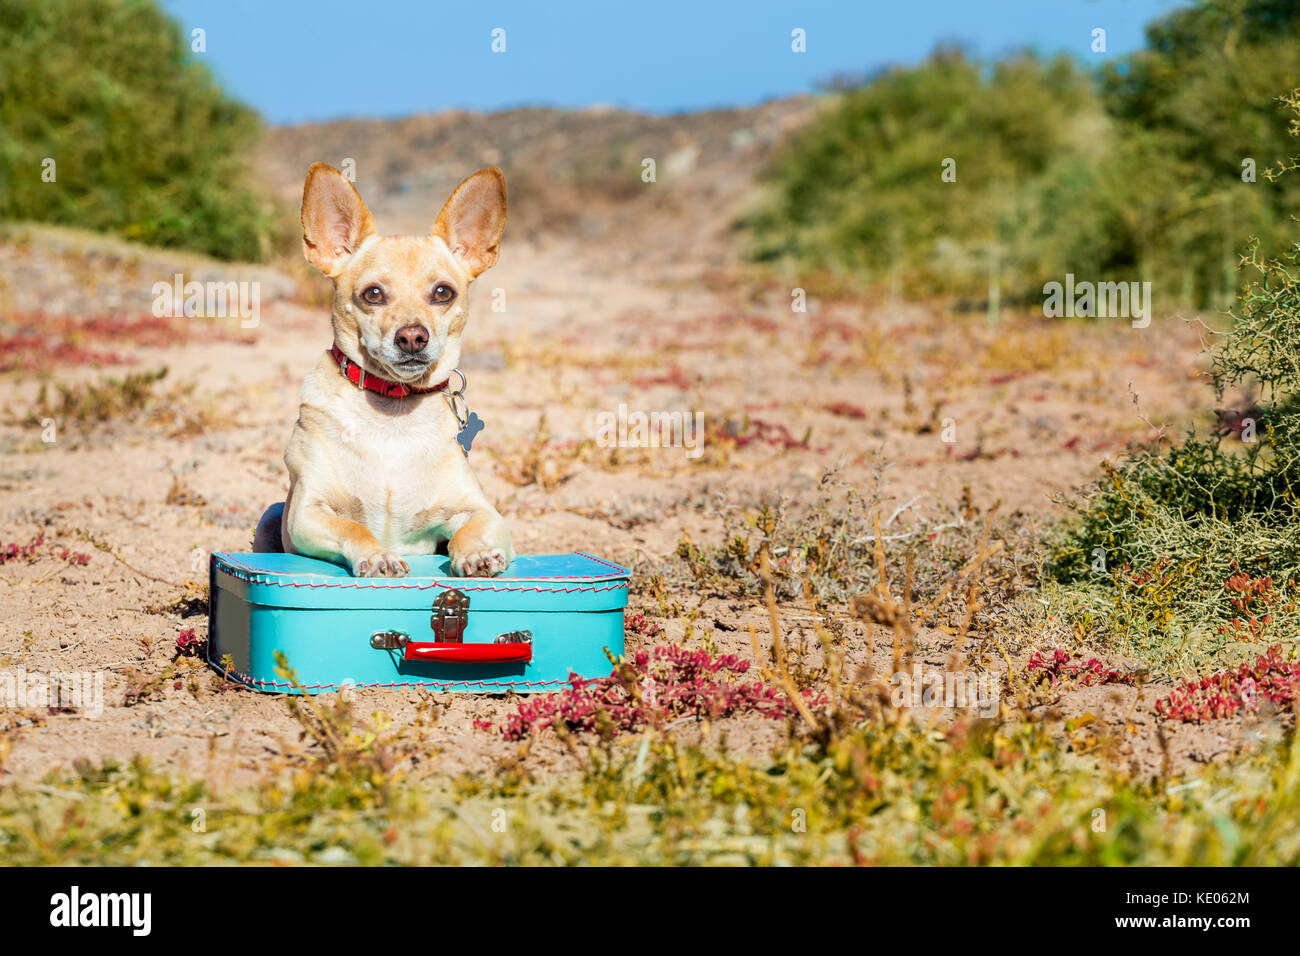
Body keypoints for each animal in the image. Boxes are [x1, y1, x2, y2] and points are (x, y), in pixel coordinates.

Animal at [250, 161, 514, 580]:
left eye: (443, 292)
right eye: (373, 294)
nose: (412, 337)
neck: (394, 413)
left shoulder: (483, 512)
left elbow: (468, 531)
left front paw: (477, 554)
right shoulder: (308, 512)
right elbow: (352, 526)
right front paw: (378, 555)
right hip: (271, 516)